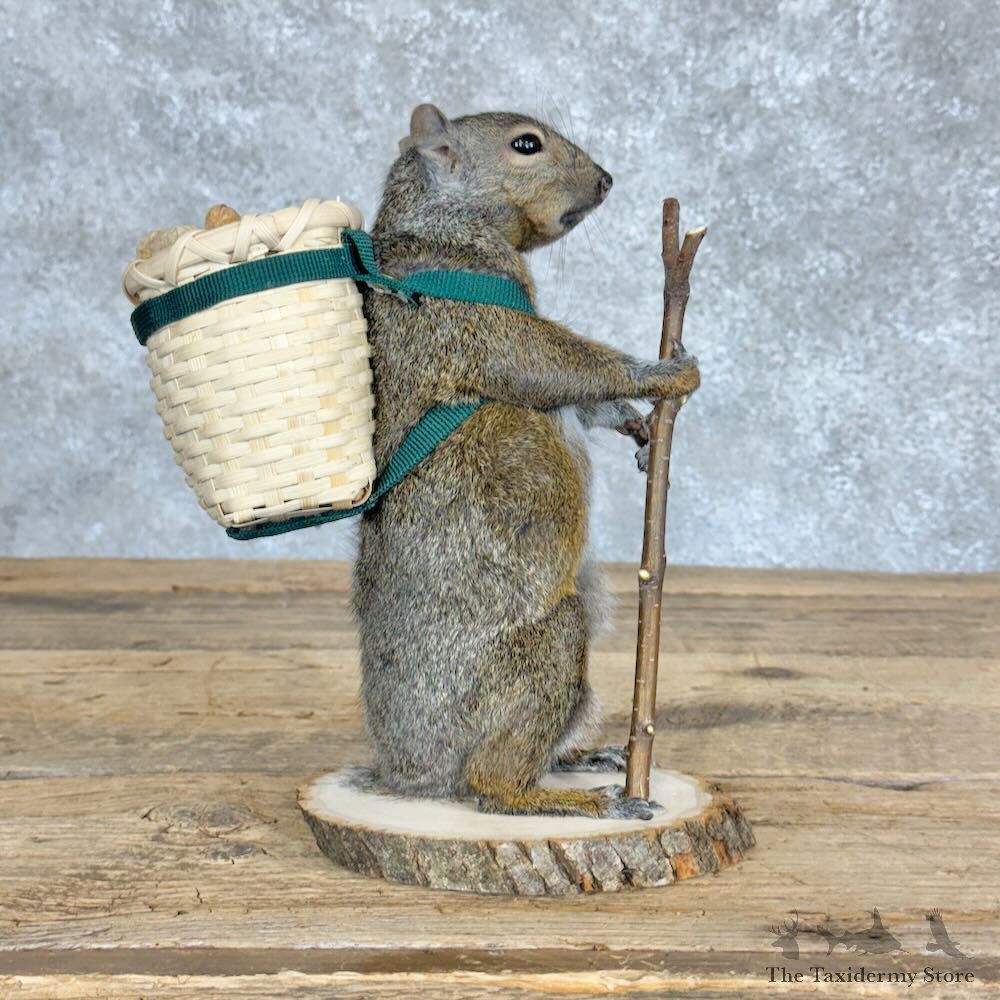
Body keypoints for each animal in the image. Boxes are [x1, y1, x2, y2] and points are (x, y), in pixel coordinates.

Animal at [352, 104, 700, 820]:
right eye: (526, 145)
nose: (606, 179)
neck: (441, 231)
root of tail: (413, 775)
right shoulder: (472, 321)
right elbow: (562, 367)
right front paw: (662, 375)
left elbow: (585, 402)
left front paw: (636, 425)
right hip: (545, 653)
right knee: (491, 786)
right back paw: (577, 804)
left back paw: (583, 759)